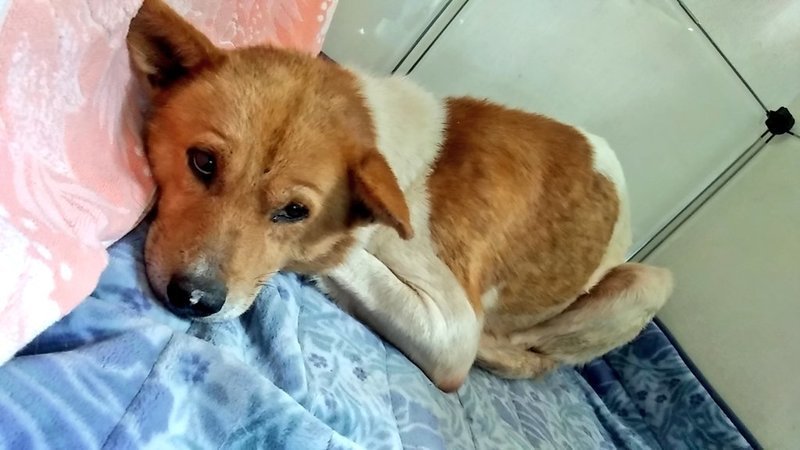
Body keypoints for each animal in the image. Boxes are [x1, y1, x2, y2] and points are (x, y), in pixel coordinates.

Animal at [128, 0, 673, 392]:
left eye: (295, 211)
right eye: (203, 162)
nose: (194, 299)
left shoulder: (452, 328)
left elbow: (339, 255)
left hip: (650, 282)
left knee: (533, 357)